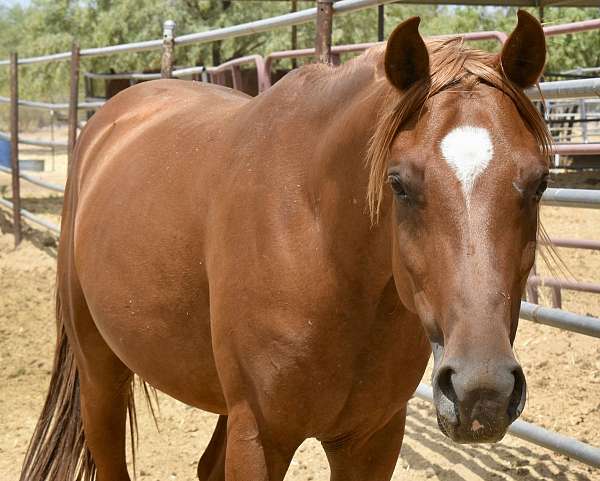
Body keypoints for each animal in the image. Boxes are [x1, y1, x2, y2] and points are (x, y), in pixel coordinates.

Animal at [22, 11, 548, 480]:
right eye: (398, 184)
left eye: (540, 182)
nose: (482, 392)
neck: (323, 249)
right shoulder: (260, 435)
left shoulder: (372, 440)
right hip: (100, 372)